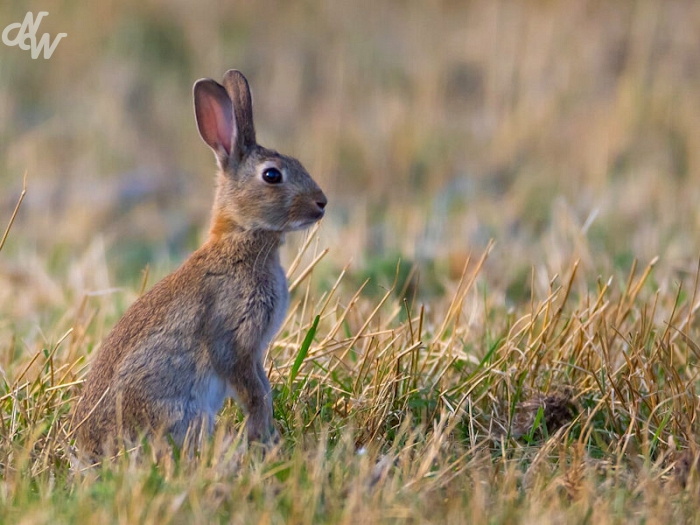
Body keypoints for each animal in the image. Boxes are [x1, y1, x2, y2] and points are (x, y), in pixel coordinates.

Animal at [72, 67, 330, 456]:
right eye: (272, 175)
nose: (321, 203)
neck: (242, 238)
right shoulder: (234, 339)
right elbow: (253, 391)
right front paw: (262, 436)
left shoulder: (255, 351)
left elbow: (263, 386)